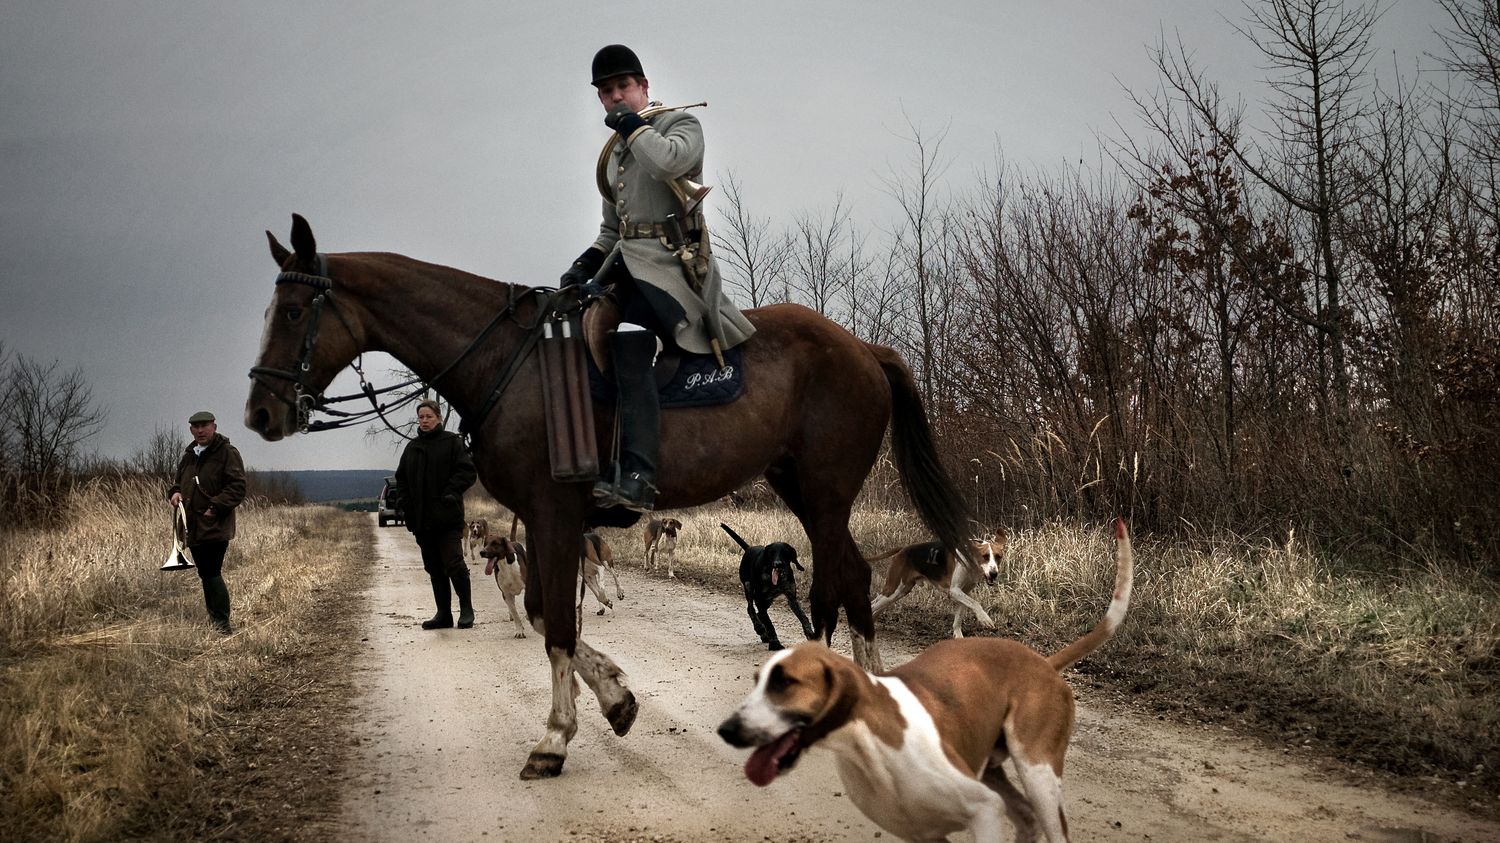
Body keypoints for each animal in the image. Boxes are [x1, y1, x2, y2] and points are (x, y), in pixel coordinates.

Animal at [720, 519, 816, 651]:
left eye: (785, 553)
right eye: (772, 553)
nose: (778, 564)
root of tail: (749, 548)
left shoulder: (791, 597)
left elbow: (803, 617)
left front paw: (810, 634)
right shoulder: (759, 599)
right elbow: (769, 623)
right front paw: (775, 643)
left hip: (768, 600)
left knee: (759, 613)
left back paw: (763, 633)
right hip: (749, 588)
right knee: (751, 609)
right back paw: (759, 628)